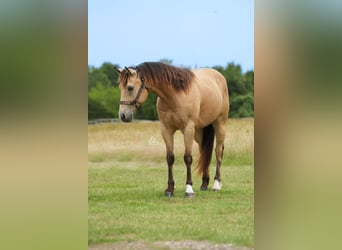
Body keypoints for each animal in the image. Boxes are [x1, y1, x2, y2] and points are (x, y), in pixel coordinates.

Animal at [113, 62, 228, 197]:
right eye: (120, 87)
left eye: (130, 88)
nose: (123, 115)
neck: (174, 96)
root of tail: (219, 76)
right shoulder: (166, 129)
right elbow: (170, 158)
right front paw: (170, 189)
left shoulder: (188, 128)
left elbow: (187, 158)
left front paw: (189, 189)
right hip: (199, 131)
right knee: (204, 151)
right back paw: (204, 183)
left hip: (219, 124)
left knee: (218, 151)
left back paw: (216, 184)